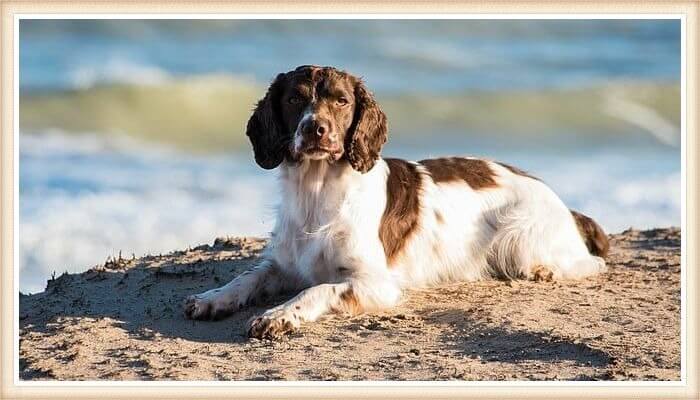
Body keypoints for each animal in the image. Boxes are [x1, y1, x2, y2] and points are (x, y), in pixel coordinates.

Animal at [183, 65, 608, 338]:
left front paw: (279, 315)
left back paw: (544, 271)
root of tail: (560, 202)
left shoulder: (376, 283)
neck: (316, 195)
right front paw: (212, 298)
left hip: (522, 241)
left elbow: (316, 289)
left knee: (592, 263)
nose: (315, 128)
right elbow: (247, 277)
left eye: (341, 101)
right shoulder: (283, 263)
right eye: (293, 100)